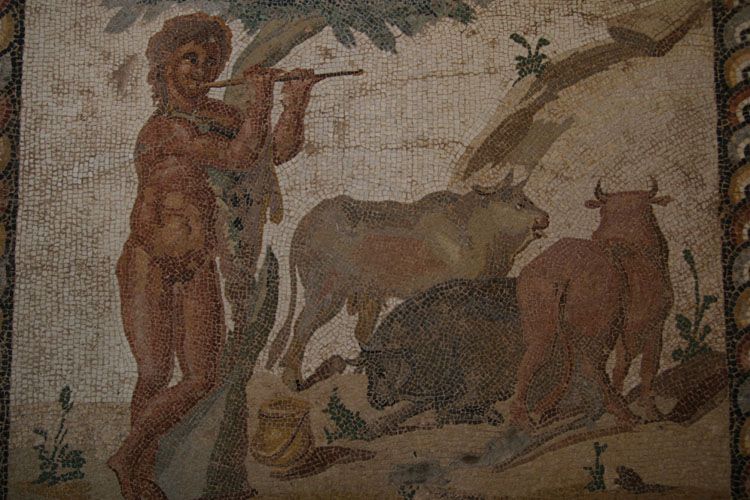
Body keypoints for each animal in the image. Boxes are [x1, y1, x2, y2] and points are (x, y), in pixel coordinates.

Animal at [265, 172, 550, 390]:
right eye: (519, 204)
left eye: (528, 199)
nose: (545, 218)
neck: (476, 233)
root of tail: (301, 229)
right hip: (327, 291)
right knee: (303, 326)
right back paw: (292, 379)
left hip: (364, 295)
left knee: (359, 333)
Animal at [511, 179, 673, 430]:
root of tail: (564, 271)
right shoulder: (653, 325)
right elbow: (647, 369)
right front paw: (652, 412)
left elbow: (621, 367)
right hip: (601, 329)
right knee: (592, 367)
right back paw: (623, 413)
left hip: (542, 323)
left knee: (533, 359)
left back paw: (525, 418)